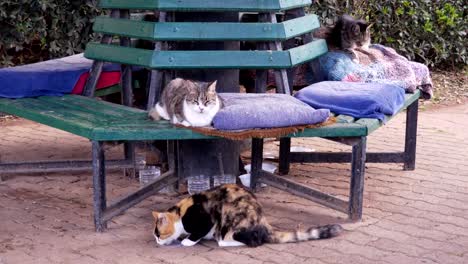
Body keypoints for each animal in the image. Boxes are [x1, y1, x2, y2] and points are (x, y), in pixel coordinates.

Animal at [152, 184, 342, 248]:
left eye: (159, 235)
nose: (157, 242)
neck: (180, 213)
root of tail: (264, 221)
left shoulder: (206, 218)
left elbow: (197, 232)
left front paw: (187, 241)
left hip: (231, 224)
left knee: (254, 240)